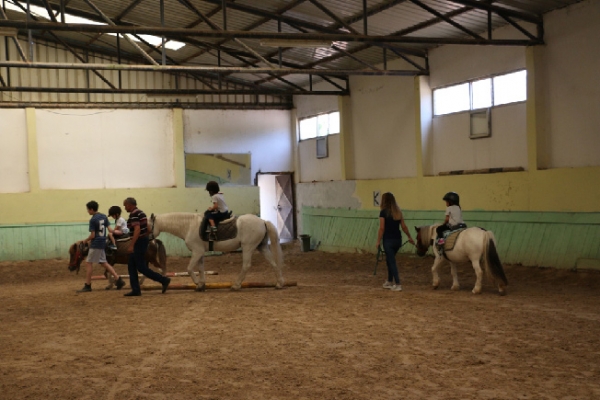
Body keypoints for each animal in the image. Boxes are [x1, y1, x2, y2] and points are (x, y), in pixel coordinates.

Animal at [147, 212, 284, 290]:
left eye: (148, 226)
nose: (147, 241)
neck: (188, 226)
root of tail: (262, 221)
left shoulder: (197, 251)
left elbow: (190, 269)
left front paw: (197, 284)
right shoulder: (200, 253)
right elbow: (200, 268)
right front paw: (201, 284)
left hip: (248, 247)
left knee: (246, 265)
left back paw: (236, 285)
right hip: (262, 247)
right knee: (274, 263)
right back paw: (279, 284)